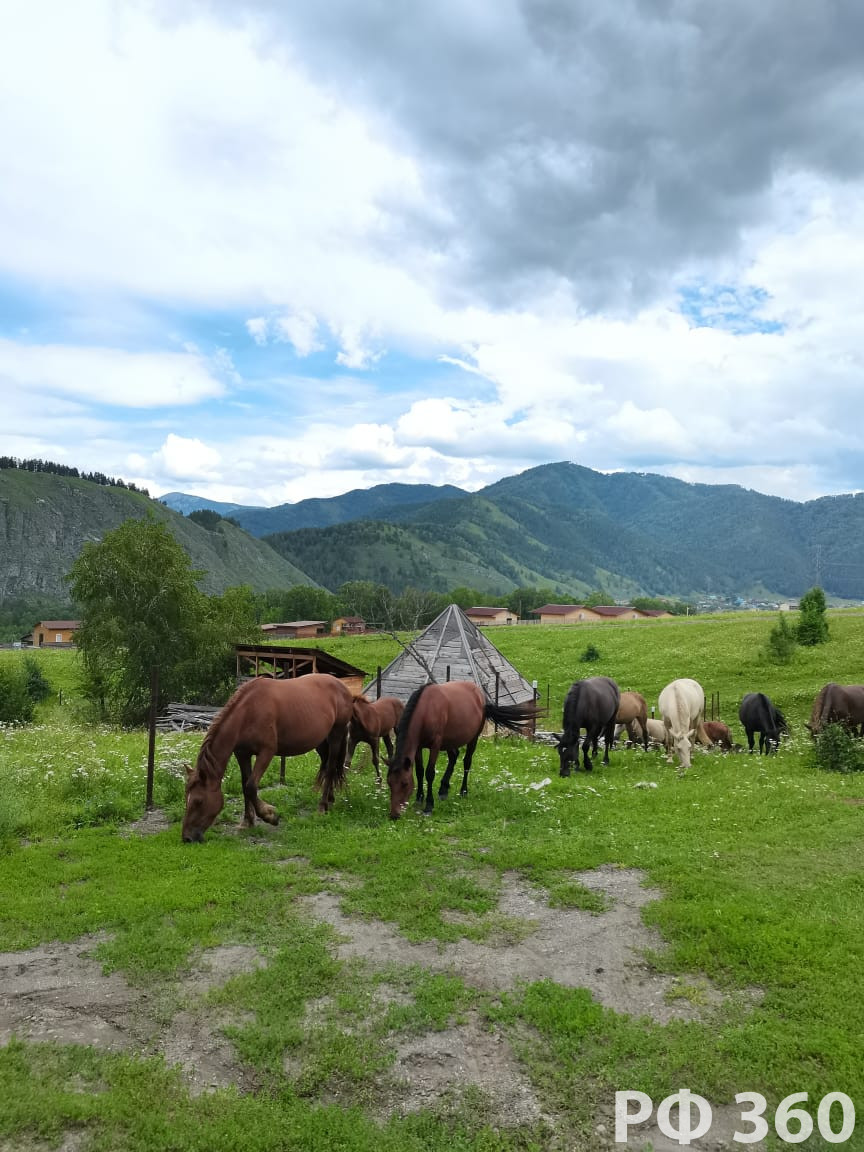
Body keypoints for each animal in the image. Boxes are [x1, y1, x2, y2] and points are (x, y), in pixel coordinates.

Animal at [183, 672, 354, 843]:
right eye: (186, 798)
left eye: (198, 801)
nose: (187, 838)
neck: (248, 712)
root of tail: (341, 685)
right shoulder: (242, 754)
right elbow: (245, 786)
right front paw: (247, 822)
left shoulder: (267, 752)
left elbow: (251, 786)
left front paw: (270, 816)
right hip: (321, 741)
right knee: (328, 767)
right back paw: (330, 800)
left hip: (336, 734)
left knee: (331, 768)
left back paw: (322, 806)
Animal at [389, 681, 543, 820]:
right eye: (389, 783)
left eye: (404, 784)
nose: (394, 815)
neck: (426, 710)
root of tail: (481, 697)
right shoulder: (418, 746)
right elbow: (419, 771)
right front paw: (418, 800)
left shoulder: (435, 745)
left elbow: (429, 773)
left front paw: (428, 806)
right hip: (450, 740)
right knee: (453, 757)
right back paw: (443, 789)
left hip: (472, 739)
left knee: (466, 762)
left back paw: (463, 791)